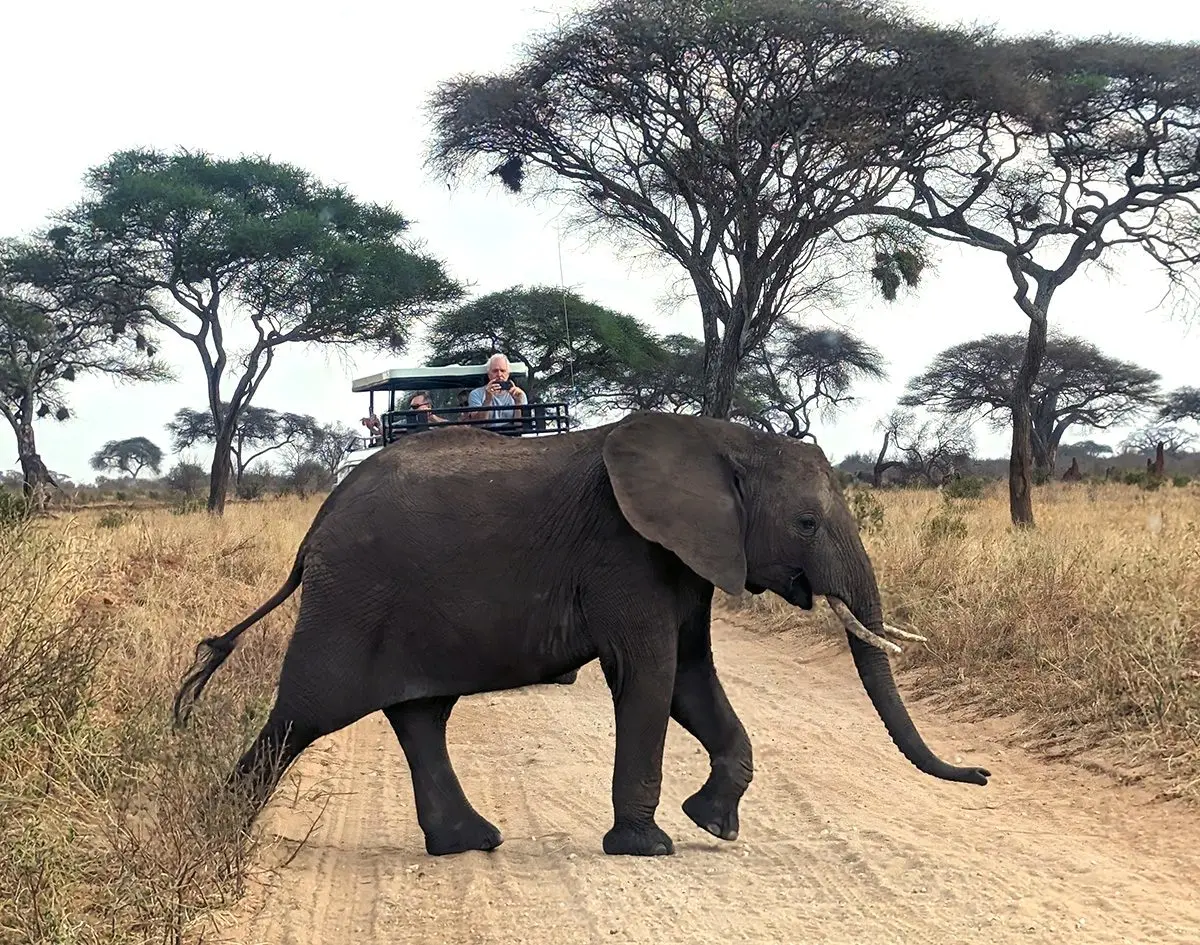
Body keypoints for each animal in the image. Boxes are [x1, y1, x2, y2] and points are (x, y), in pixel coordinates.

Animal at [173, 411, 989, 858]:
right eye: (808, 523)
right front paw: (649, 847)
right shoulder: (624, 551)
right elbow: (652, 674)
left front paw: (713, 825)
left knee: (421, 714)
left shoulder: (684, 557)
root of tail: (315, 525)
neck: (721, 439)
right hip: (352, 597)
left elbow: (692, 678)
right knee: (303, 714)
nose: (981, 776)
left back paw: (471, 841)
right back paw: (221, 830)